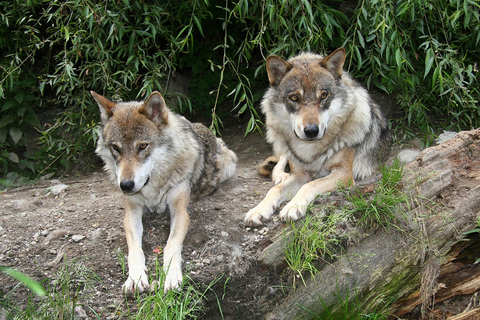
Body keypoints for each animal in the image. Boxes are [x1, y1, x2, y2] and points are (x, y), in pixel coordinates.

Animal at [91, 89, 237, 292]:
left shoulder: (180, 210)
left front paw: (171, 276)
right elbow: (134, 249)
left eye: (142, 146)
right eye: (115, 147)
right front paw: (135, 278)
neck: (153, 187)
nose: (126, 185)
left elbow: (171, 245)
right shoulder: (131, 212)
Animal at [246, 47, 392, 228]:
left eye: (323, 95)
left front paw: (293, 206)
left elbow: (310, 185)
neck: (310, 151)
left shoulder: (343, 173)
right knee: (279, 164)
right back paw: (281, 176)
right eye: (294, 98)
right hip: (282, 145)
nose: (311, 131)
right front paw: (259, 210)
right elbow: (275, 190)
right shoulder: (300, 174)